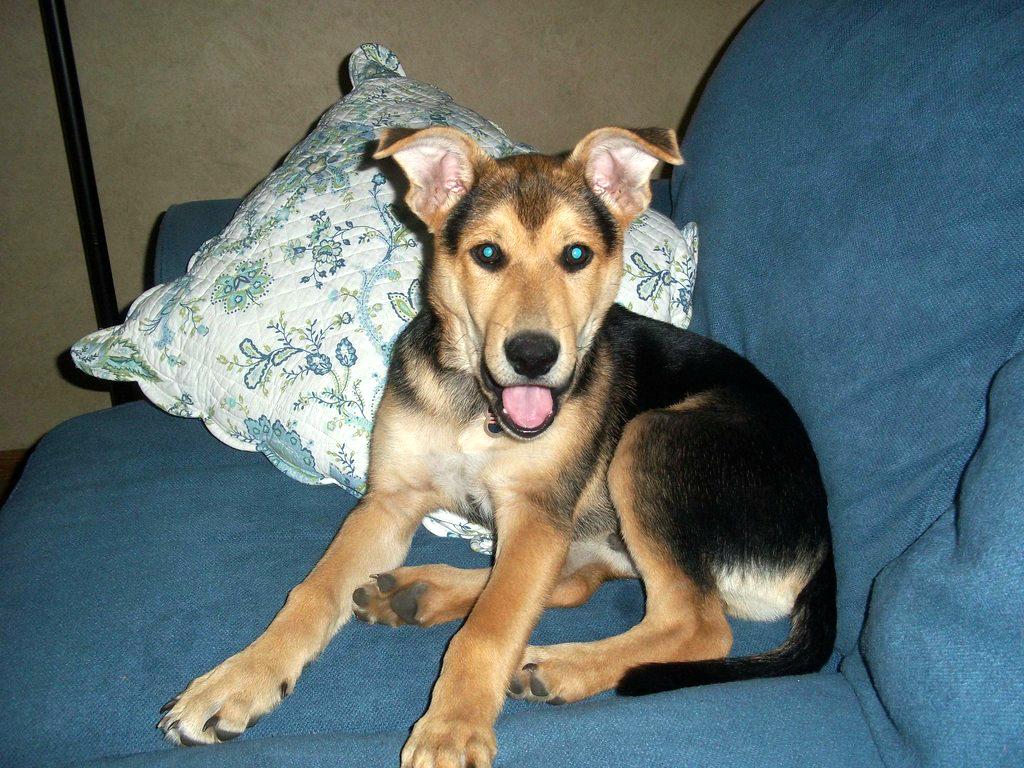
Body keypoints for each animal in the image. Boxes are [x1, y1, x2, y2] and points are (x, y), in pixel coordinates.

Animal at [158, 125, 835, 768]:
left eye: (576, 255)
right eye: (487, 254)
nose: (533, 356)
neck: (476, 407)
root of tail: (823, 542)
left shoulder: (536, 515)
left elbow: (490, 627)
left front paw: (451, 728)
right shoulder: (388, 500)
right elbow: (313, 591)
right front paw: (238, 680)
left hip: (649, 439)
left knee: (694, 623)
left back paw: (558, 665)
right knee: (576, 583)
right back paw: (417, 593)